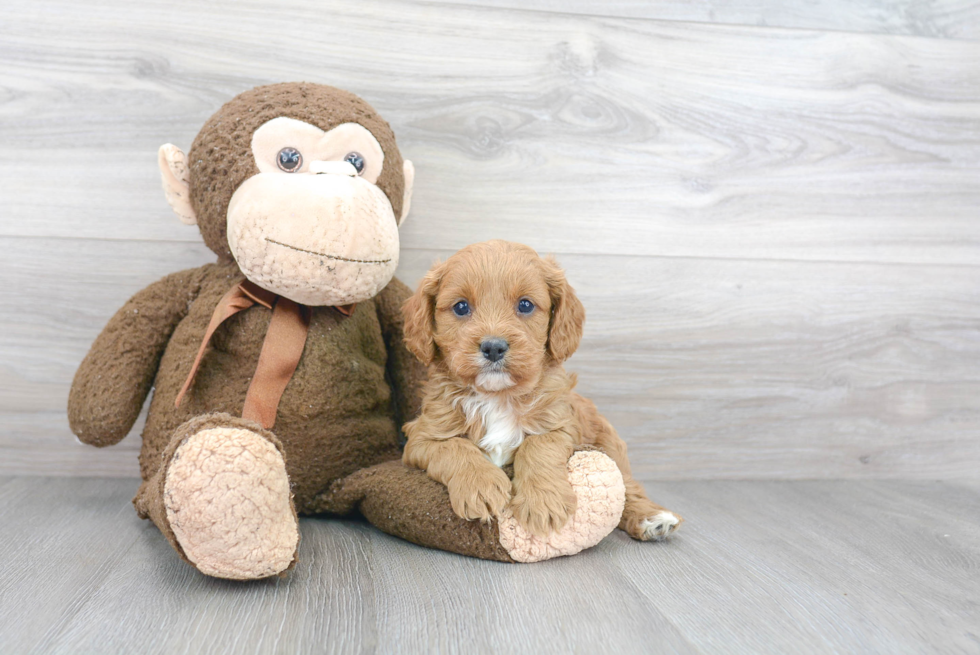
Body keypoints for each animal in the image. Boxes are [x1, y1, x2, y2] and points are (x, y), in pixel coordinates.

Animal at [400, 238, 680, 540]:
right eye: (461, 307)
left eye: (525, 305)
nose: (493, 347)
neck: (497, 397)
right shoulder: (420, 437)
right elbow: (454, 447)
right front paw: (480, 485)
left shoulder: (561, 424)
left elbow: (538, 445)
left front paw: (543, 502)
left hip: (610, 444)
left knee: (629, 486)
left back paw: (652, 518)